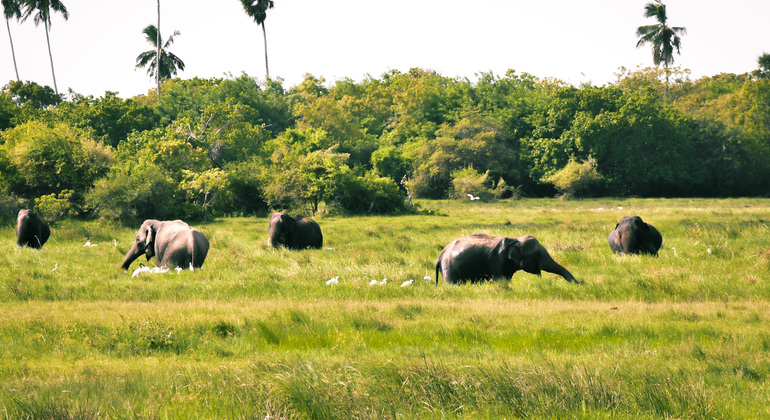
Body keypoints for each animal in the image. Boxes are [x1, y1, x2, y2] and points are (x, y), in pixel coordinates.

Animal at [432, 233, 576, 286]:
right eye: (537, 255)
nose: (579, 284)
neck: (515, 239)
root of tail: (440, 255)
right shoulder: (497, 260)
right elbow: (500, 280)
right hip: (448, 267)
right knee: (452, 283)